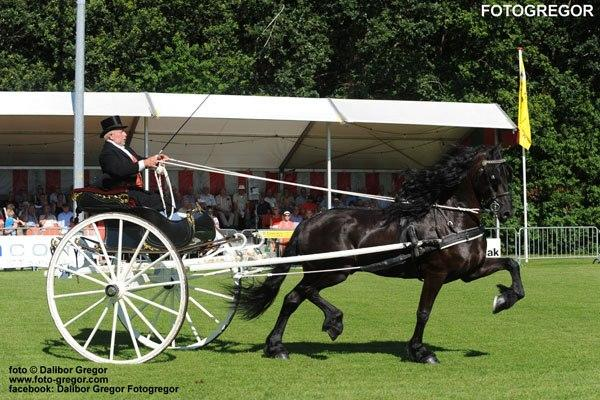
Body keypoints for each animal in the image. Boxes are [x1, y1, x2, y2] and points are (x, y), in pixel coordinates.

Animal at [237, 145, 524, 364]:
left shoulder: (470, 271)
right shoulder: (436, 274)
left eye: (508, 173)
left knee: (298, 296)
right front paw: (420, 352)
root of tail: (307, 222)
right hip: (335, 270)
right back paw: (316, 329)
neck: (452, 220)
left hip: (326, 271)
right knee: (300, 294)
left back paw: (289, 341)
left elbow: (512, 265)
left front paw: (503, 299)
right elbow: (424, 312)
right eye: (492, 176)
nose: (506, 211)